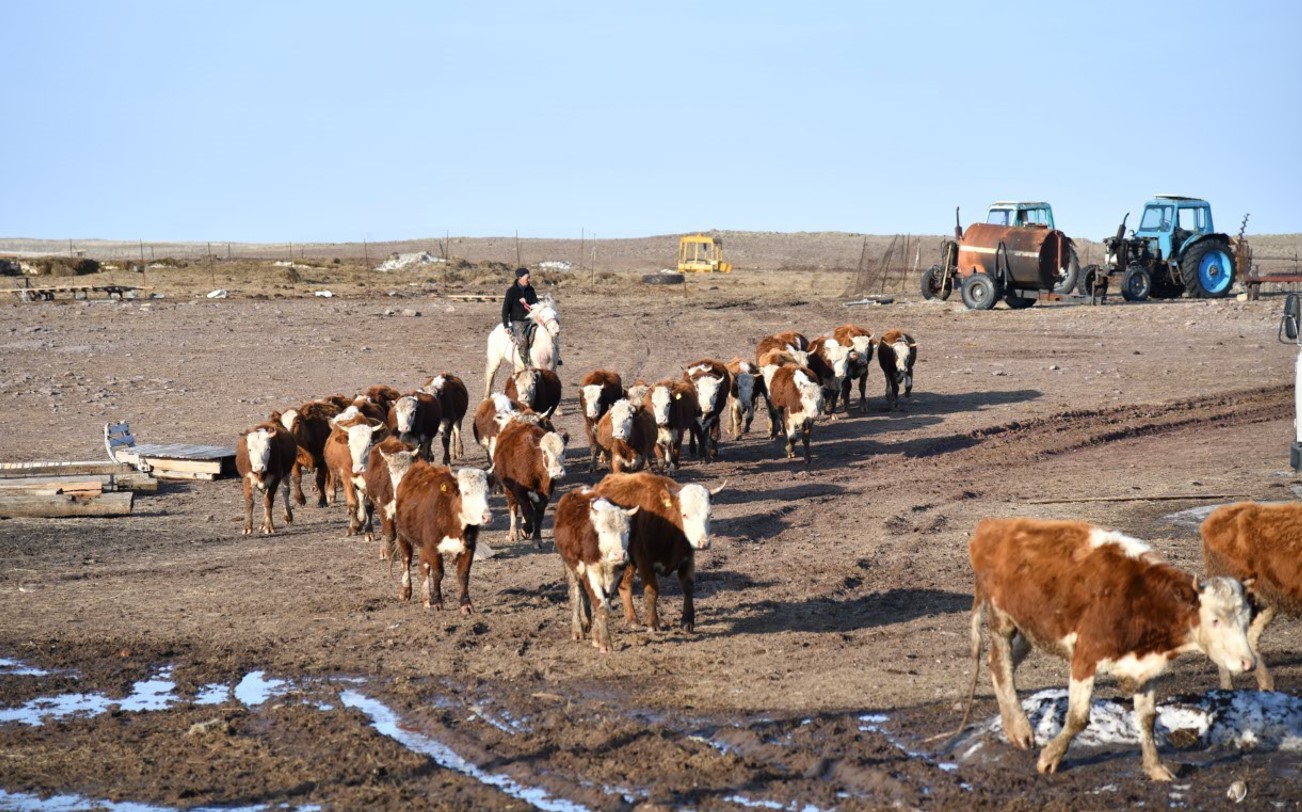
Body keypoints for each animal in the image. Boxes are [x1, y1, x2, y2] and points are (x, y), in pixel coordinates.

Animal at [382, 447, 494, 611]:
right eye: (466, 492)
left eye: (486, 492)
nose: (487, 517)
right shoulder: (432, 546)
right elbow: (438, 573)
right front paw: (437, 602)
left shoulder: (469, 548)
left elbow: (463, 575)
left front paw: (466, 604)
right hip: (403, 534)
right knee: (406, 559)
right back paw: (406, 591)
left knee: (423, 565)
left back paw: (425, 598)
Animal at [552, 489, 637, 653]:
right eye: (603, 531)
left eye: (627, 531)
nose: (619, 555)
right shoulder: (590, 573)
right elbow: (600, 605)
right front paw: (605, 643)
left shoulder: (616, 576)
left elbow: (605, 603)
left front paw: (597, 637)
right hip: (569, 565)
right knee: (575, 594)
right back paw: (577, 631)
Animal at [591, 468, 723, 635]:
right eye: (684, 514)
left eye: (709, 514)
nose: (703, 543)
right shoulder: (644, 561)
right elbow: (651, 590)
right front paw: (653, 623)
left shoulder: (687, 558)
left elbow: (687, 586)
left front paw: (687, 622)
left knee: (625, 585)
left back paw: (632, 619)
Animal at [963, 520, 1255, 780]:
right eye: (1215, 620)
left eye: (1246, 619)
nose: (1248, 662)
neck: (1141, 602)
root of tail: (994, 526)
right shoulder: (1085, 656)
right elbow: (1078, 717)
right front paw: (1050, 758)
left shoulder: (1148, 667)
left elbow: (1147, 718)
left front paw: (1155, 768)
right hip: (1001, 617)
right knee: (1000, 664)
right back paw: (1021, 729)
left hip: (1029, 629)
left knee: (1000, 664)